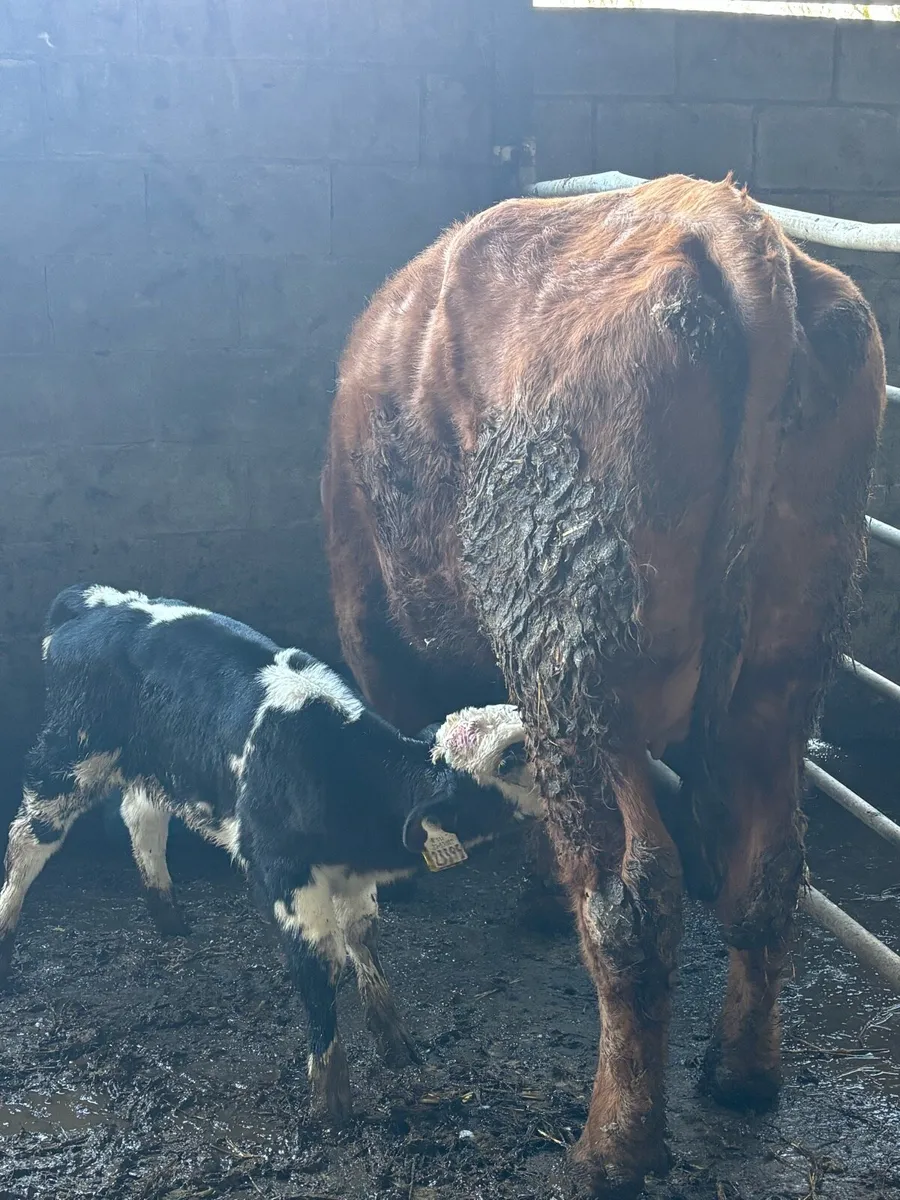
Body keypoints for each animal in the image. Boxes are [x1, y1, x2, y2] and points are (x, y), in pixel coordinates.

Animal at [0, 585, 524, 1121]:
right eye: (512, 756)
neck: (339, 767)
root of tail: (96, 601)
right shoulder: (283, 872)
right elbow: (321, 964)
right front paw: (330, 1102)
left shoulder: (352, 874)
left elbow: (363, 936)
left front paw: (394, 1041)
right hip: (71, 754)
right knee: (28, 840)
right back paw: (5, 937)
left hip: (160, 764)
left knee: (141, 816)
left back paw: (169, 917)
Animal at [321, 174, 886, 1196]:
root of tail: (720, 214)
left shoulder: (366, 609)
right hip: (781, 673)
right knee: (768, 868)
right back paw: (742, 1076)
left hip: (578, 671)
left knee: (632, 896)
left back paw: (612, 1146)